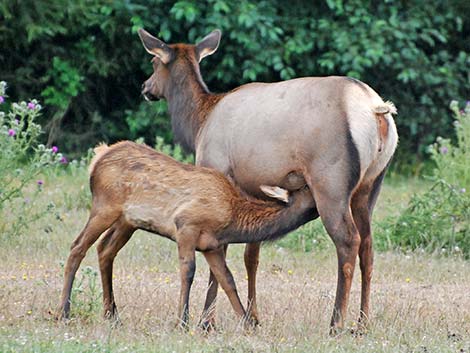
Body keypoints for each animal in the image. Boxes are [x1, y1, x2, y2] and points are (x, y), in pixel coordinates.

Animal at [58, 141, 314, 328]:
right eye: (307, 188)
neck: (233, 220)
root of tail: (98, 157)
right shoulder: (186, 226)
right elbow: (188, 271)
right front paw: (182, 321)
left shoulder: (211, 245)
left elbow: (227, 279)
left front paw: (247, 323)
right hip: (104, 207)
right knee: (77, 247)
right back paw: (64, 312)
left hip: (127, 221)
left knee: (105, 250)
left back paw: (111, 315)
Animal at [138, 28, 398, 332]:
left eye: (154, 63)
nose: (145, 87)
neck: (198, 124)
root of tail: (376, 110)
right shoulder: (256, 190)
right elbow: (252, 257)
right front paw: (254, 317)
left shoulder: (216, 170)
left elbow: (221, 252)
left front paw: (207, 320)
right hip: (370, 186)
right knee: (368, 247)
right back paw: (363, 323)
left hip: (330, 182)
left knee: (348, 241)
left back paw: (335, 323)